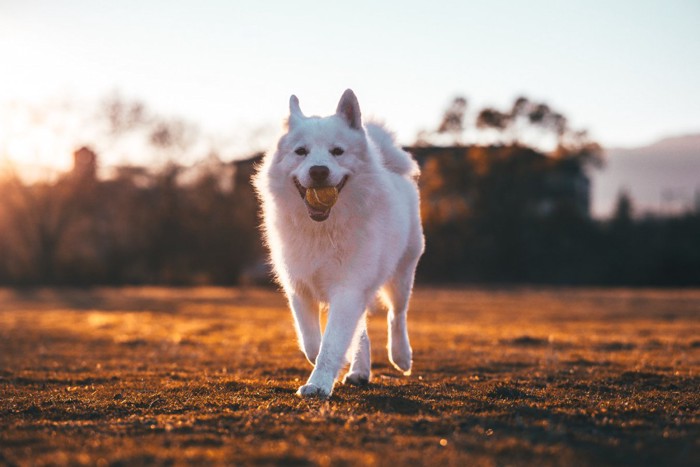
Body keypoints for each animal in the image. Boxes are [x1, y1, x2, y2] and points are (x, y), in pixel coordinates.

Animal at [253, 90, 424, 398]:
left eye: (337, 151)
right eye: (301, 152)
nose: (319, 171)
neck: (322, 228)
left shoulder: (348, 288)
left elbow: (332, 343)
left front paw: (318, 383)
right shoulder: (299, 288)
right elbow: (312, 342)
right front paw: (331, 366)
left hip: (402, 272)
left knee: (397, 314)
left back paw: (401, 356)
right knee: (363, 330)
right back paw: (359, 371)